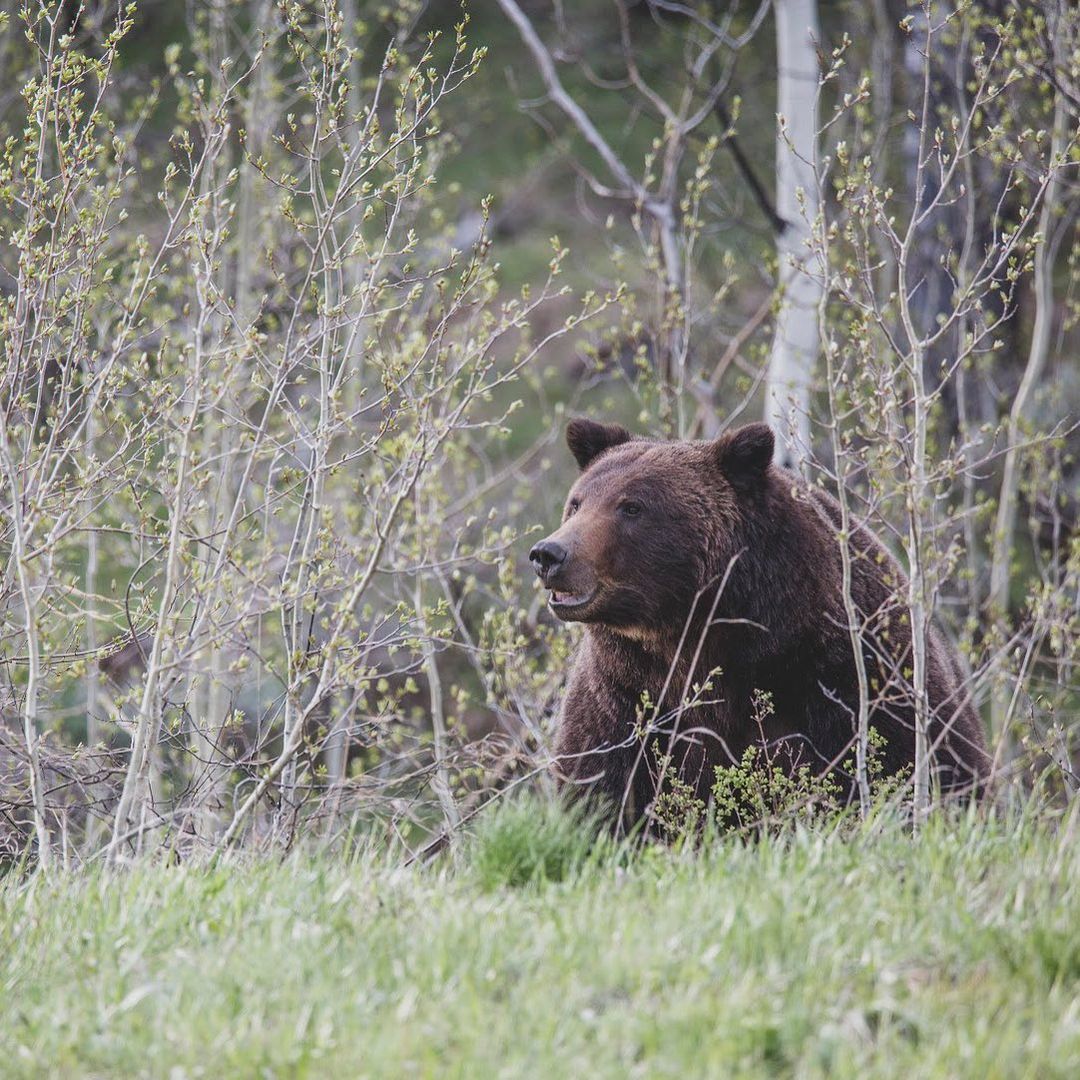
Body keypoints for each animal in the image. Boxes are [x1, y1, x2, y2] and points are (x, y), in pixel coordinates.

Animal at [527, 419, 989, 825]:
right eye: (577, 502)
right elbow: (601, 789)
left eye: (631, 506)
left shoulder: (850, 677)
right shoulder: (624, 700)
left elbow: (902, 763)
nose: (550, 553)